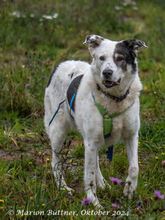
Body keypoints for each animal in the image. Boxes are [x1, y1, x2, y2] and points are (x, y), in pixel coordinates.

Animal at [43, 34, 147, 208]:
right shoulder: (91, 141)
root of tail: (61, 64)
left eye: (120, 58)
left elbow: (134, 168)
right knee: (56, 161)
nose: (107, 72)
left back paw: (104, 184)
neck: (114, 99)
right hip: (59, 129)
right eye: (101, 58)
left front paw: (129, 190)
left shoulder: (131, 136)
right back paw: (63, 187)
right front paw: (93, 201)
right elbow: (89, 175)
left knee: (96, 161)